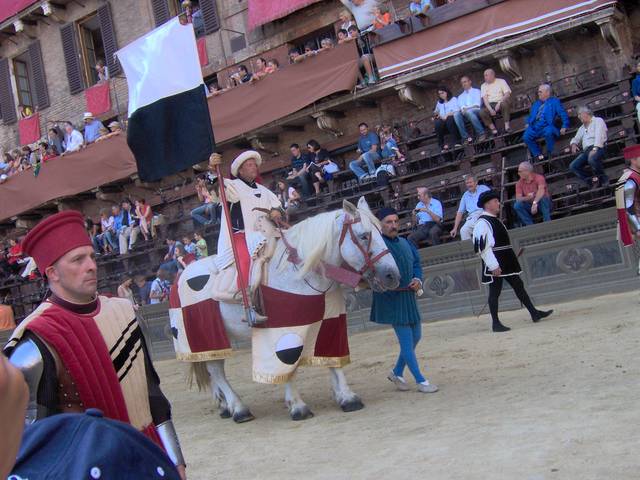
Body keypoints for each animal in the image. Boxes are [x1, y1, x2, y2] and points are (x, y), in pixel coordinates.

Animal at [171, 197, 400, 422]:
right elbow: (287, 364)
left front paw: (347, 397)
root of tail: (181, 275)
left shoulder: (330, 320)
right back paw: (239, 409)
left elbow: (333, 358)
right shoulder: (281, 329)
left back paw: (225, 407)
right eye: (364, 236)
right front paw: (298, 407)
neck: (299, 272)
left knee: (213, 368)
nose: (392, 276)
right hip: (206, 337)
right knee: (216, 370)